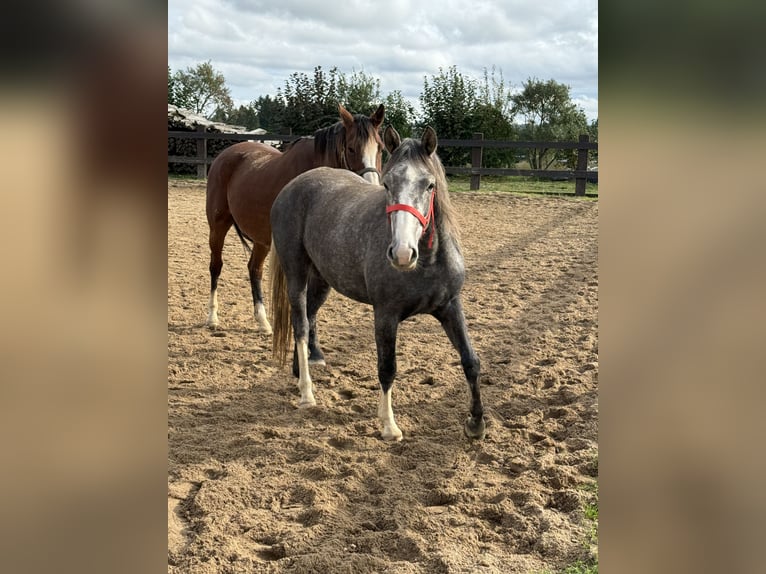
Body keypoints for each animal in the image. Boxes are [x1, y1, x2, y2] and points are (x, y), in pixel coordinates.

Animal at [206, 104, 388, 332]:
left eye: (380, 148)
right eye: (351, 148)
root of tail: (225, 155)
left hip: (261, 240)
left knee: (254, 270)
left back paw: (263, 321)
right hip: (218, 227)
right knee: (216, 266)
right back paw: (213, 317)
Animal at [270, 125, 486, 440]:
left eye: (429, 185)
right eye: (387, 184)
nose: (402, 253)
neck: (426, 264)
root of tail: (292, 187)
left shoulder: (450, 307)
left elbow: (470, 360)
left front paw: (476, 423)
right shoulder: (385, 315)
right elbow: (387, 368)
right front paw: (389, 425)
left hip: (322, 280)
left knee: (309, 317)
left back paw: (300, 372)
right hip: (296, 273)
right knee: (300, 326)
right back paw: (307, 393)